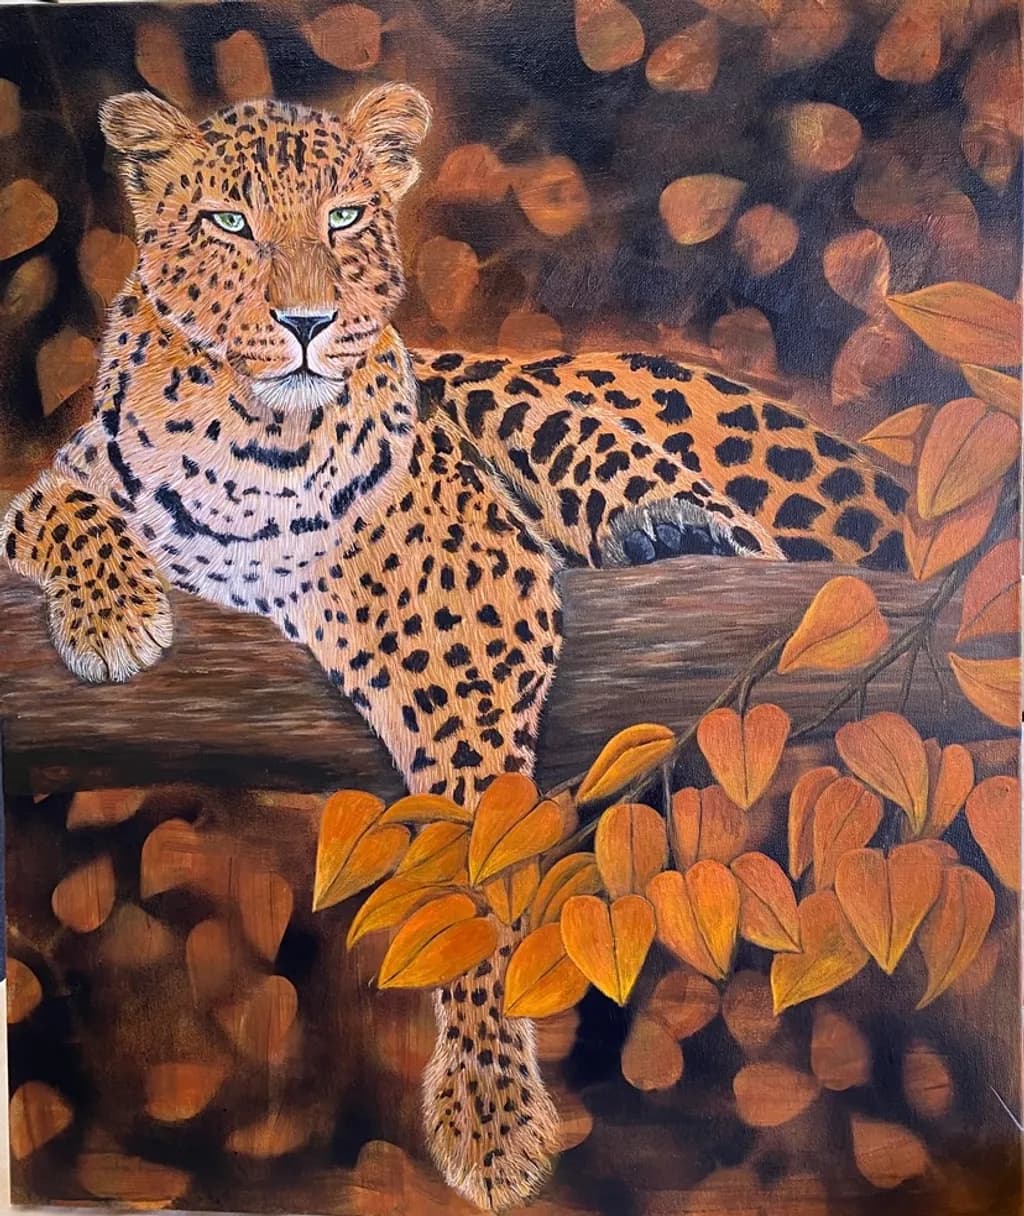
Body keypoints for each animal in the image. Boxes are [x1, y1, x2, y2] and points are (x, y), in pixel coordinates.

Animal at [1, 84, 908, 1211]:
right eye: (228, 222)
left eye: (345, 216)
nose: (307, 324)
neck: (253, 440)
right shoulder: (58, 488)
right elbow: (62, 505)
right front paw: (113, 613)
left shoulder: (468, 629)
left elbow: (478, 869)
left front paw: (490, 1107)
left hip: (544, 399)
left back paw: (667, 528)